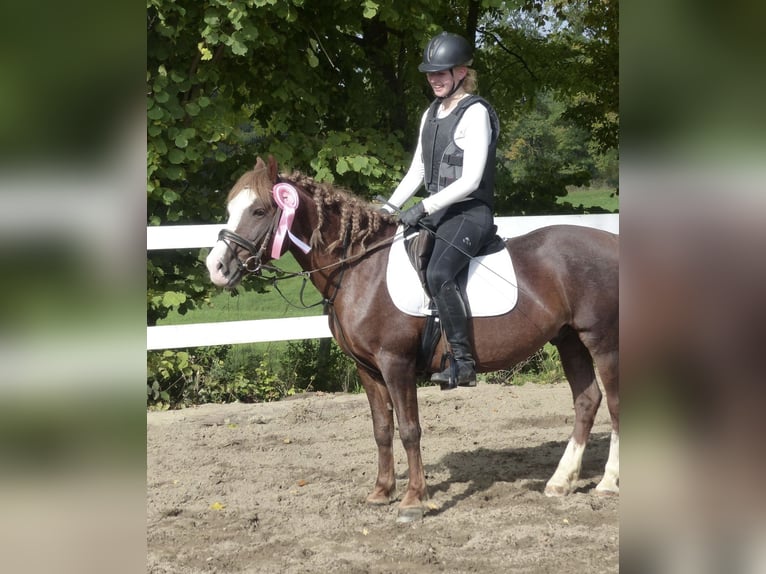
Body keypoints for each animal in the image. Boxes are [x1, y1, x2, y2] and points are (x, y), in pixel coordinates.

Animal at [205, 156, 619, 522]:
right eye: (230, 208)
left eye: (259, 211)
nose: (217, 267)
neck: (359, 268)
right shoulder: (368, 369)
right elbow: (382, 429)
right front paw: (381, 492)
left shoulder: (396, 363)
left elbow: (408, 429)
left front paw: (413, 500)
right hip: (570, 340)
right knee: (587, 401)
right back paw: (561, 482)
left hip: (603, 343)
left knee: (614, 405)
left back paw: (608, 483)